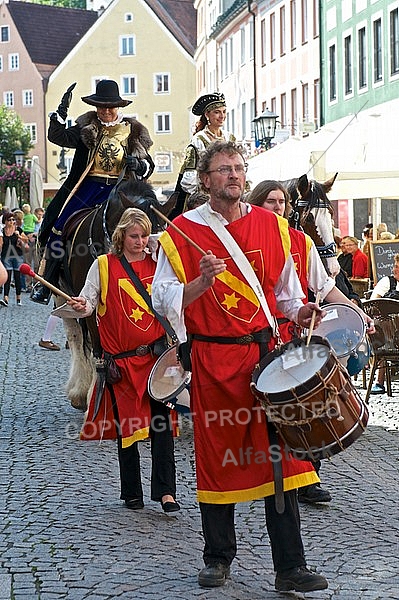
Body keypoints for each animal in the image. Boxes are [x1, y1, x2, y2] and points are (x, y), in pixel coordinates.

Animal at [56, 178, 172, 410]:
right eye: (145, 237)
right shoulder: (89, 308)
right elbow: (96, 350)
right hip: (63, 296)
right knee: (76, 337)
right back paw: (80, 391)